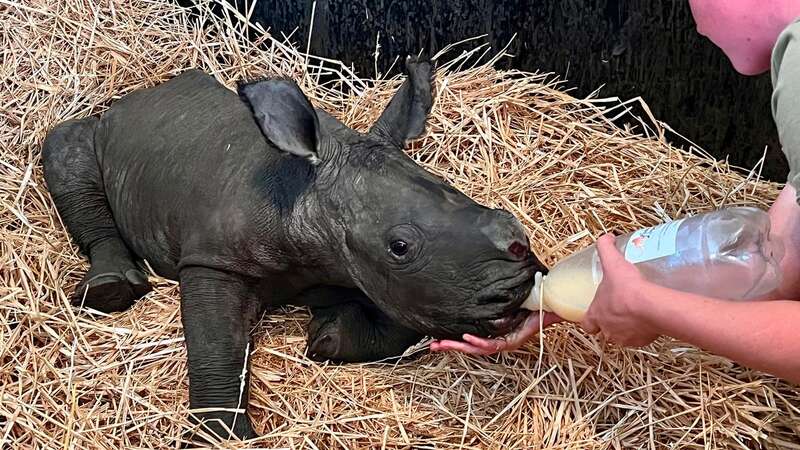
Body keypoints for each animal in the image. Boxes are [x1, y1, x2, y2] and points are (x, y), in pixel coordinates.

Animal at [42, 58, 544, 442]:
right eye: (399, 246)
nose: (517, 288)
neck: (306, 196)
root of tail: (141, 95)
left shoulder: (377, 274)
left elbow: (408, 314)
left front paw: (329, 337)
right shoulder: (213, 259)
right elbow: (216, 343)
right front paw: (222, 437)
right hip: (102, 133)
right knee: (66, 145)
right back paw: (108, 291)